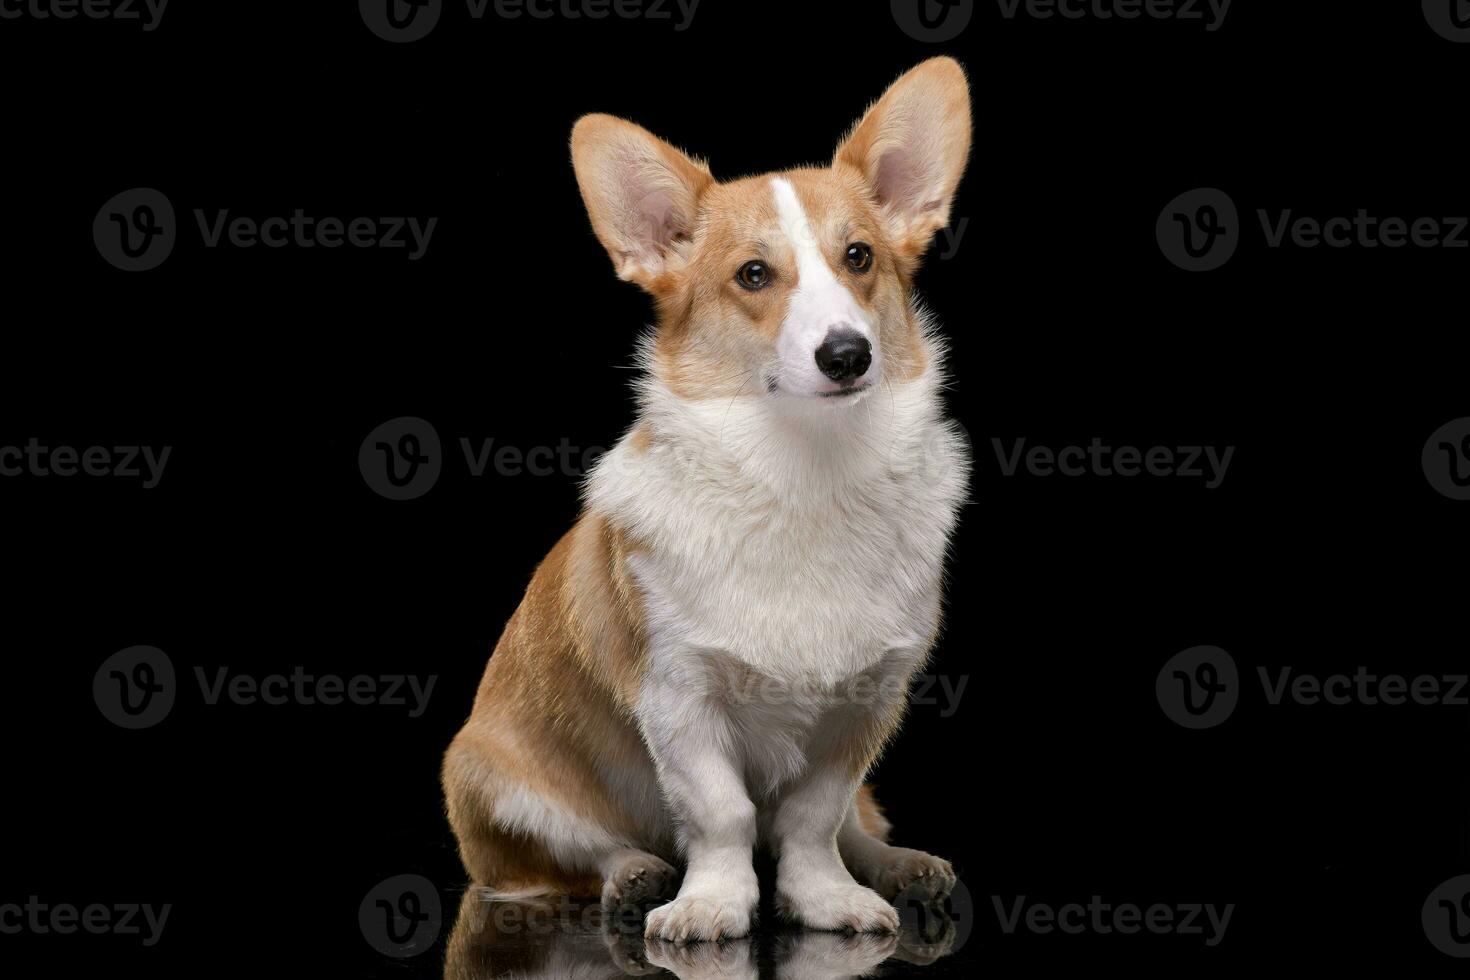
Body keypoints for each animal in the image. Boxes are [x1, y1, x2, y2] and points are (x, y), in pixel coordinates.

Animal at [446, 55, 976, 940]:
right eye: (753, 276)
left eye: (860, 257)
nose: (847, 354)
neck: (806, 472)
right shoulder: (680, 700)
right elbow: (724, 814)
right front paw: (714, 905)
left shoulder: (866, 704)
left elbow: (813, 818)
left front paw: (825, 897)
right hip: (488, 782)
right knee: (579, 854)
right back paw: (634, 875)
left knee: (857, 823)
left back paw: (899, 865)